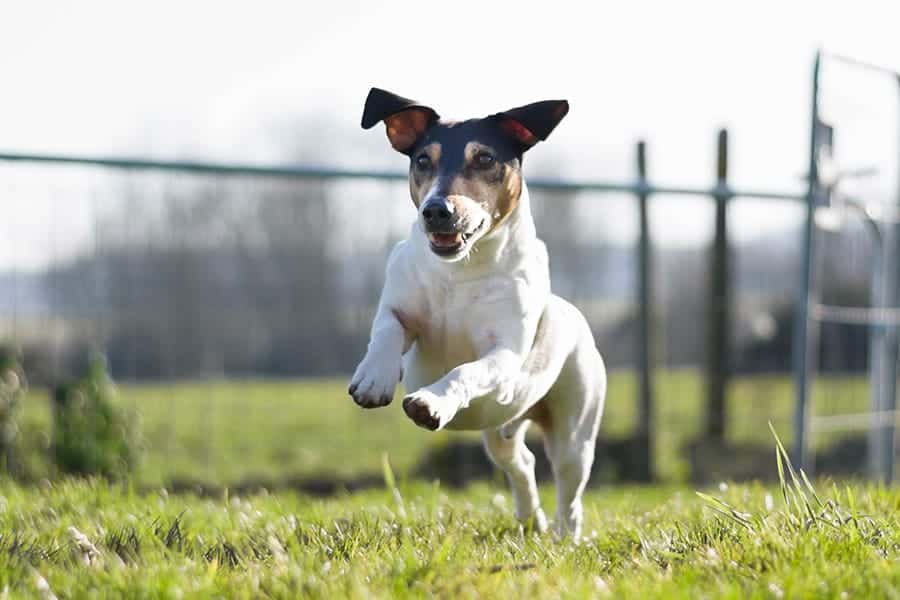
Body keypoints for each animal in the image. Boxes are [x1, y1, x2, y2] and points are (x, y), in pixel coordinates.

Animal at [348, 88, 608, 540]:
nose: (437, 210)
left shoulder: (503, 357)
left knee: (569, 486)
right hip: (501, 434)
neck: (462, 270)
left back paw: (564, 536)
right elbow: (387, 329)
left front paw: (431, 402)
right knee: (521, 462)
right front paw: (374, 377)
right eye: (423, 160)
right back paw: (529, 518)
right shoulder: (400, 304)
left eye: (484, 158)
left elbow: (465, 371)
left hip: (575, 428)